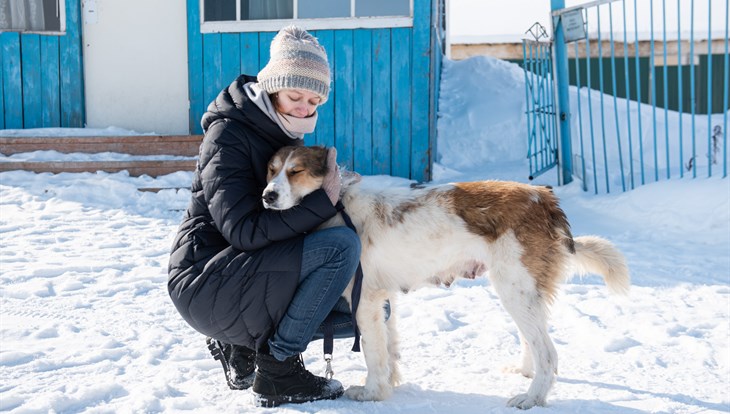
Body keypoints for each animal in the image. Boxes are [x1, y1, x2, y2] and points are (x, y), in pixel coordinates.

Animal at [260, 145, 624, 408]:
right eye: (271, 171)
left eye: (295, 172)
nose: (267, 195)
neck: (338, 204)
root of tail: (545, 198)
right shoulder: (383, 299)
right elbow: (389, 347)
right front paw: (390, 384)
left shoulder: (364, 301)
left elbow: (373, 354)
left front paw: (372, 393)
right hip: (521, 293)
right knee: (533, 341)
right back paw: (524, 373)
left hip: (514, 289)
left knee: (547, 352)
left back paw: (532, 398)